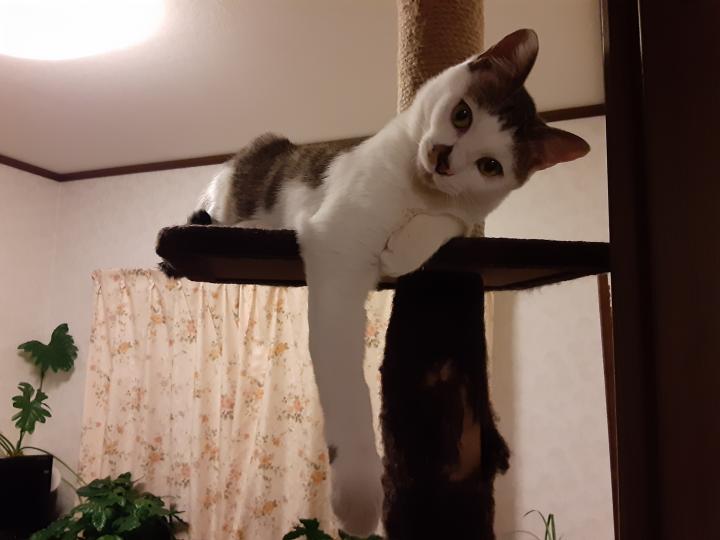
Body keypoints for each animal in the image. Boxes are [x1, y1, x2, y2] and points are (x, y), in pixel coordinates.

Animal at [188, 29, 589, 535]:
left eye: (490, 166)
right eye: (462, 114)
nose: (442, 158)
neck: (416, 190)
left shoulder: (464, 218)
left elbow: (448, 220)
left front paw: (403, 247)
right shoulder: (338, 248)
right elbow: (348, 385)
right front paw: (358, 493)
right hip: (238, 181)